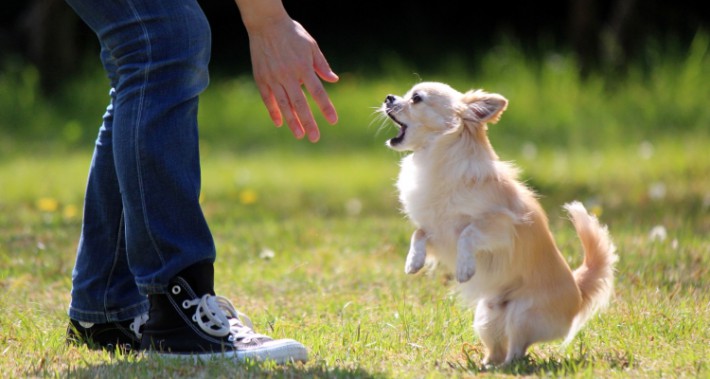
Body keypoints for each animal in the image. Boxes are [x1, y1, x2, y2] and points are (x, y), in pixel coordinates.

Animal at [382, 82, 620, 366]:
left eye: (416, 98)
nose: (388, 97)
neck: (435, 159)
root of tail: (578, 291)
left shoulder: (501, 225)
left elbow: (468, 233)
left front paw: (464, 268)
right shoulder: (437, 232)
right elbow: (418, 234)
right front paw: (413, 261)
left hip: (522, 314)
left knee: (517, 350)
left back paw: (506, 366)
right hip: (486, 315)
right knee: (499, 348)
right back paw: (485, 364)